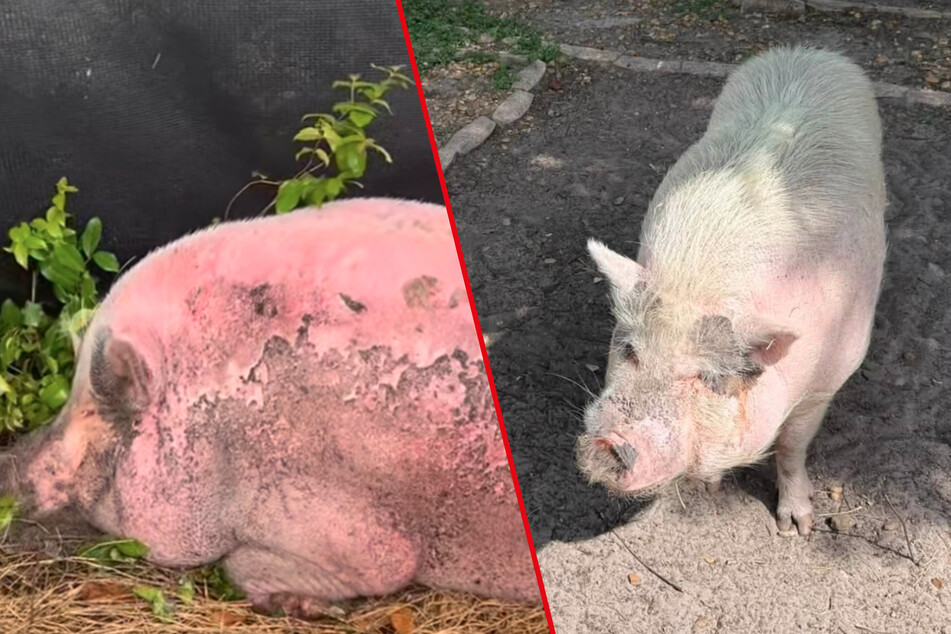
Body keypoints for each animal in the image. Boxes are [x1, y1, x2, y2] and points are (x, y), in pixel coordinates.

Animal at [1, 198, 540, 615]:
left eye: (97, 415)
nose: (6, 461)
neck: (221, 435)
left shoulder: (354, 527)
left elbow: (255, 564)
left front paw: (313, 609)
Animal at [577, 46, 887, 536]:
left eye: (705, 377)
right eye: (629, 350)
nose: (609, 443)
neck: (697, 284)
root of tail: (807, 50)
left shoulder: (827, 381)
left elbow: (792, 445)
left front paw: (796, 528)